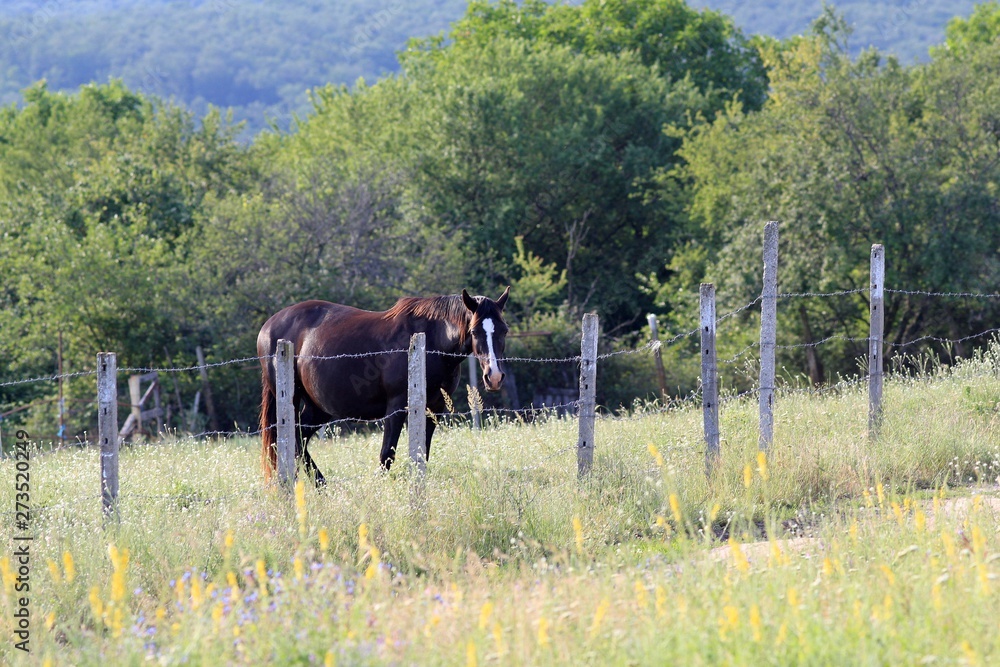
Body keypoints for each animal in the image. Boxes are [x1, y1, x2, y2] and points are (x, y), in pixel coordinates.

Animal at [258, 287, 510, 486]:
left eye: (504, 330)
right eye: (475, 331)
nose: (494, 377)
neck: (429, 342)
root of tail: (268, 327)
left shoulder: (434, 409)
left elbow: (422, 455)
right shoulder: (396, 407)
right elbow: (387, 454)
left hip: (318, 407)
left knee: (299, 439)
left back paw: (320, 486)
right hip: (292, 402)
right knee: (291, 440)